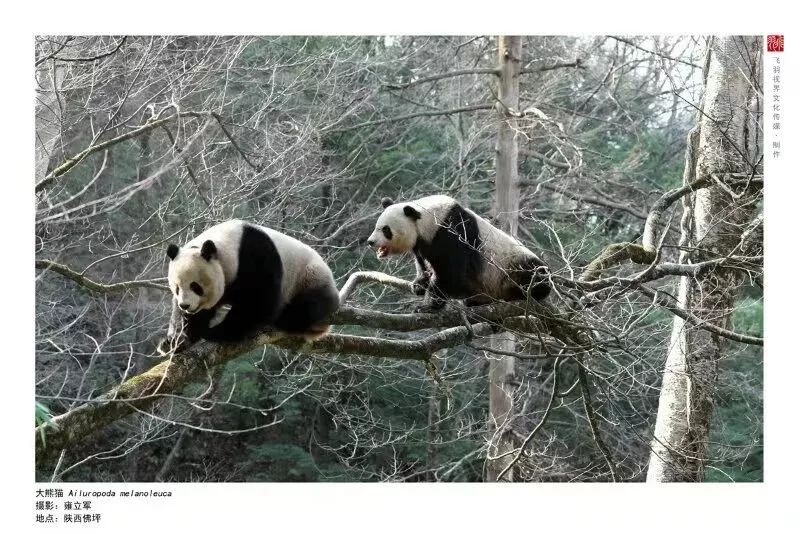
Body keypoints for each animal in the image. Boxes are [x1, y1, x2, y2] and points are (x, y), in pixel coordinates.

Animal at [158, 220, 340, 354]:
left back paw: (286, 317)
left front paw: (216, 332)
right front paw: (175, 341)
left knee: (309, 306)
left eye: (195, 286)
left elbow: (257, 302)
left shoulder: (255, 256)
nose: (185, 305)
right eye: (177, 288)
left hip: (308, 277)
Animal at [368, 196, 552, 314]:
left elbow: (450, 272)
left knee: (534, 276)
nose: (370, 242)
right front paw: (419, 284)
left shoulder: (451, 232)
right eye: (376, 226)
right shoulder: (423, 242)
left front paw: (427, 306)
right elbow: (422, 261)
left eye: (386, 230)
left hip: (513, 267)